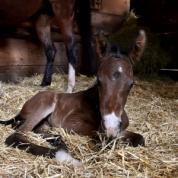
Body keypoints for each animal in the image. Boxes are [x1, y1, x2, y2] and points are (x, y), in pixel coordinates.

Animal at [0, 29, 146, 167]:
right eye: (99, 81)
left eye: (131, 84)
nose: (111, 127)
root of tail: (24, 106)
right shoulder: (70, 123)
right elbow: (99, 134)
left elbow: (139, 139)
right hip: (44, 105)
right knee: (16, 135)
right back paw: (65, 156)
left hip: (43, 123)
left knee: (32, 129)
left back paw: (58, 140)